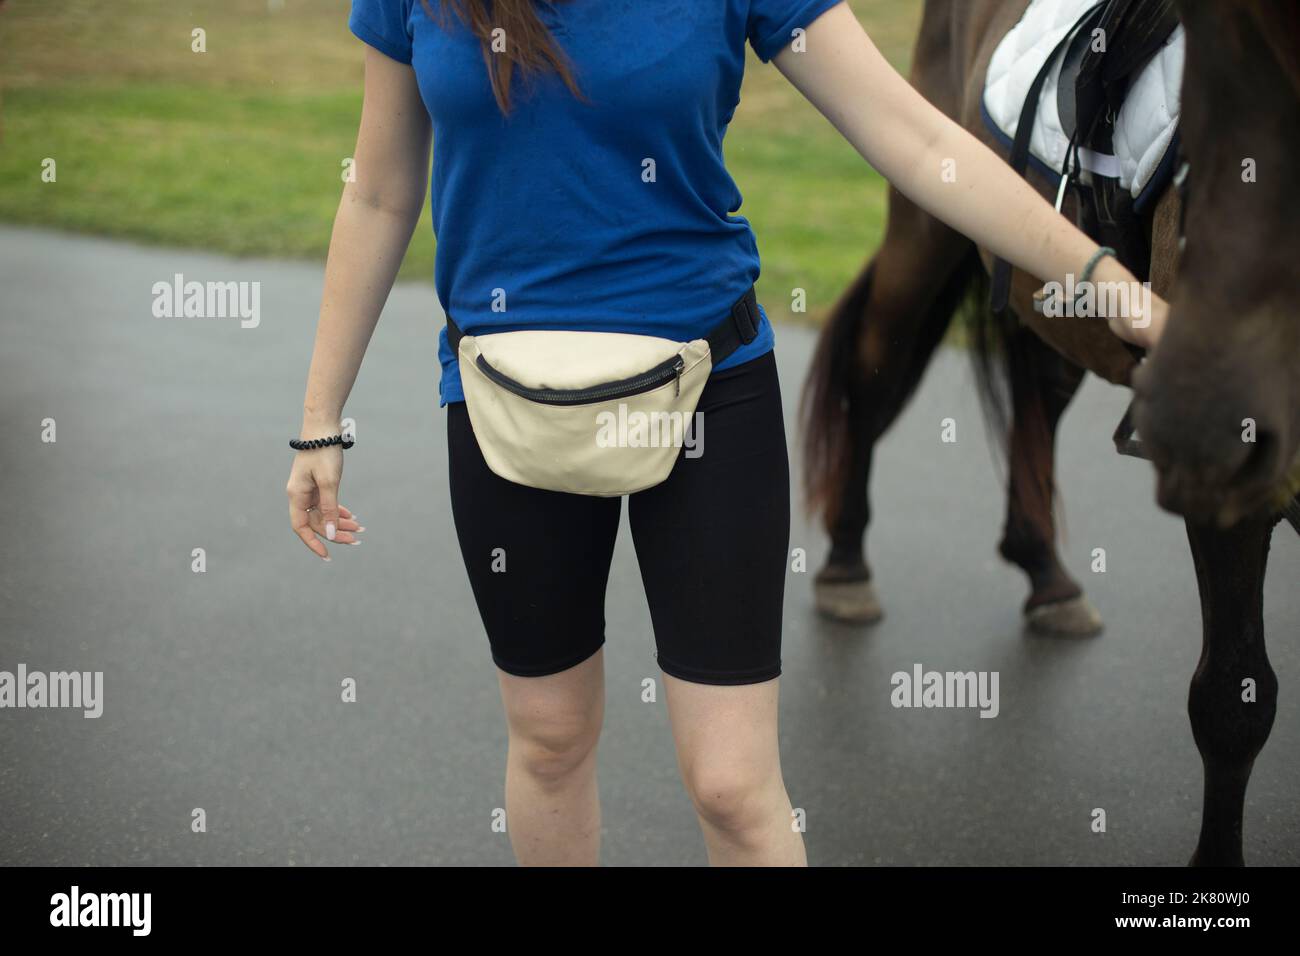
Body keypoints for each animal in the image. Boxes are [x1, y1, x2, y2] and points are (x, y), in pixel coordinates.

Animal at [800, 0, 1300, 868]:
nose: (1202, 412)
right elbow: (1235, 702)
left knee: (1038, 397)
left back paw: (1046, 573)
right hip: (926, 222)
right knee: (871, 374)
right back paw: (846, 567)